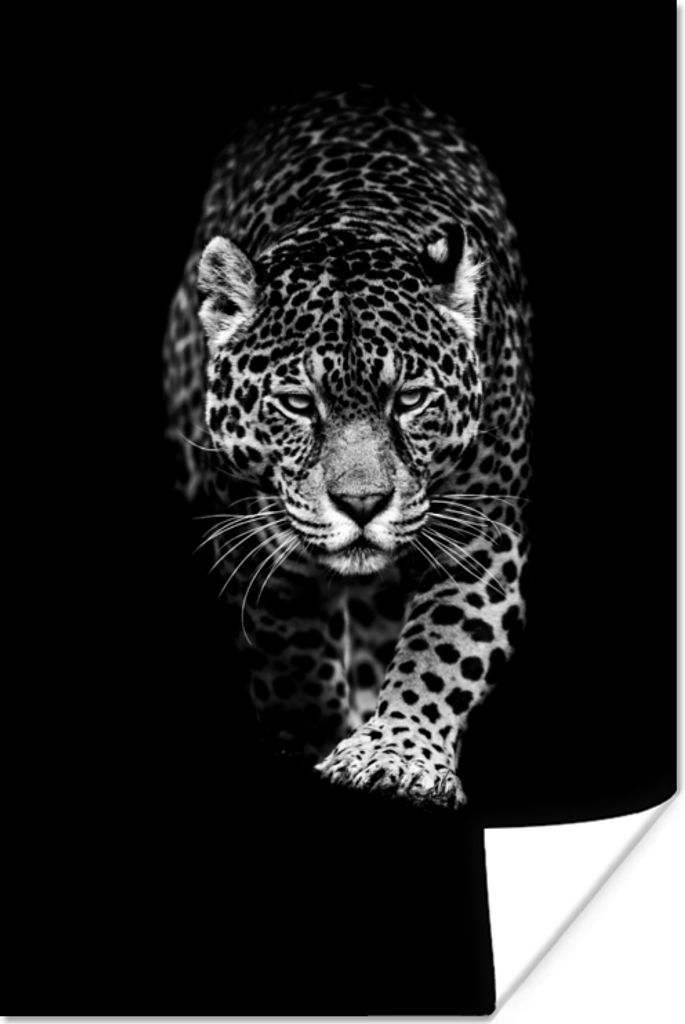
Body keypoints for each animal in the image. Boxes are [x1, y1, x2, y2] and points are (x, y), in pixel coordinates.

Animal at [162, 84, 532, 809]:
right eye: (299, 404)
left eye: (409, 400)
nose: (362, 504)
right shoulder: (255, 542)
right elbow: (290, 655)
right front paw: (308, 739)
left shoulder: (479, 537)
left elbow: (443, 648)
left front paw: (396, 755)